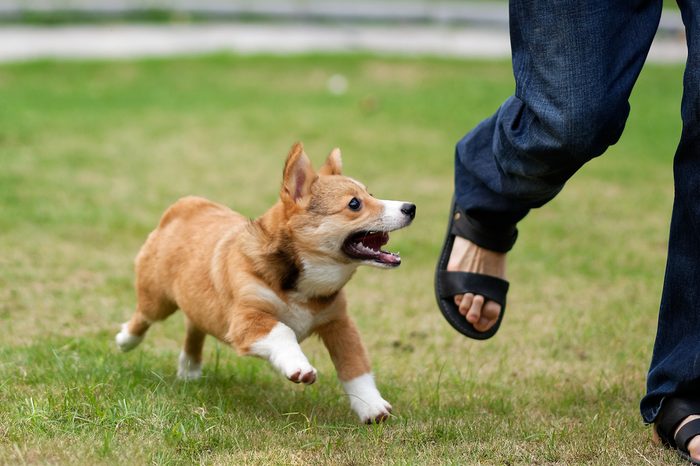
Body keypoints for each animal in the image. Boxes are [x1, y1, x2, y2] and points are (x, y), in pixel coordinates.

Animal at [115, 142, 416, 422]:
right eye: (354, 203)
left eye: (371, 194)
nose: (411, 207)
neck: (303, 279)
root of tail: (186, 206)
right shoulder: (247, 319)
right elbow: (283, 331)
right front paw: (299, 367)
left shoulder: (339, 323)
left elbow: (355, 367)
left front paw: (371, 407)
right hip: (157, 300)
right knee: (143, 317)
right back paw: (125, 339)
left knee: (194, 325)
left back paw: (189, 368)